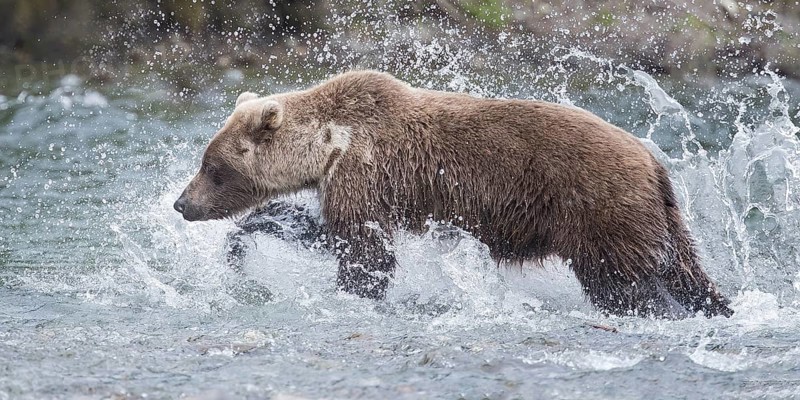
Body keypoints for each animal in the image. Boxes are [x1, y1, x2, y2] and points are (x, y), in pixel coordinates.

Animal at [173, 70, 733, 318]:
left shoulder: (366, 174)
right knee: (685, 268)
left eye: (212, 166)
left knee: (621, 282)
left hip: (600, 208)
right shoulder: (361, 189)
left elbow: (364, 251)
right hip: (661, 218)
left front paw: (353, 290)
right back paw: (717, 305)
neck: (331, 144)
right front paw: (251, 234)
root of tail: (654, 163)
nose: (182, 204)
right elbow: (328, 231)